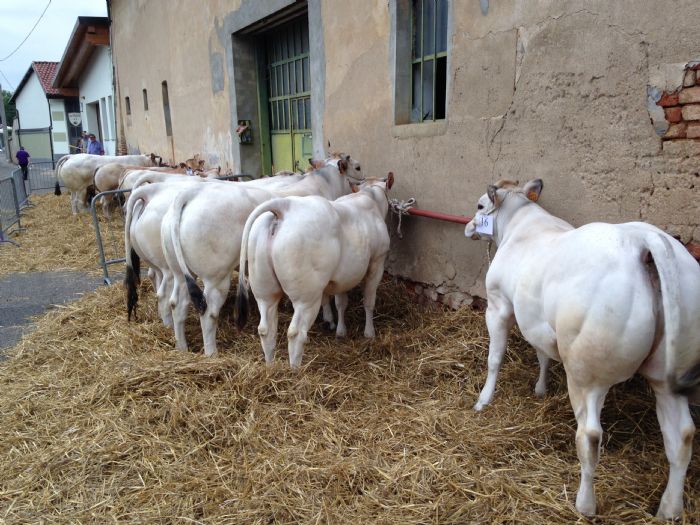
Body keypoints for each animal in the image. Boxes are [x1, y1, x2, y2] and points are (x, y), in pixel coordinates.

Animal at [161, 154, 364, 357]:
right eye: (358, 167)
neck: (325, 184)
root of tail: (192, 192)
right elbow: (326, 296)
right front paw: (329, 320)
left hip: (180, 272)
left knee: (176, 303)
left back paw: (181, 346)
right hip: (215, 277)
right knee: (208, 312)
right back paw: (212, 353)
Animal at [235, 174, 394, 367]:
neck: (370, 196)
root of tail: (284, 206)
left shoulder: (343, 276)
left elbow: (341, 303)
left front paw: (340, 331)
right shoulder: (377, 262)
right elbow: (369, 301)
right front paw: (369, 333)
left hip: (264, 291)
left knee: (266, 329)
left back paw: (270, 366)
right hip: (306, 296)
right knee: (296, 332)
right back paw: (295, 369)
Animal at [463, 178, 700, 519]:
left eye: (481, 205)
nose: (469, 226)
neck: (521, 222)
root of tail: (641, 239)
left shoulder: (498, 305)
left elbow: (495, 359)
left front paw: (483, 400)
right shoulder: (538, 321)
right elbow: (543, 354)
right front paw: (541, 389)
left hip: (586, 373)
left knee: (589, 436)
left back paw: (584, 505)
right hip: (667, 374)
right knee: (681, 436)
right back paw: (669, 509)